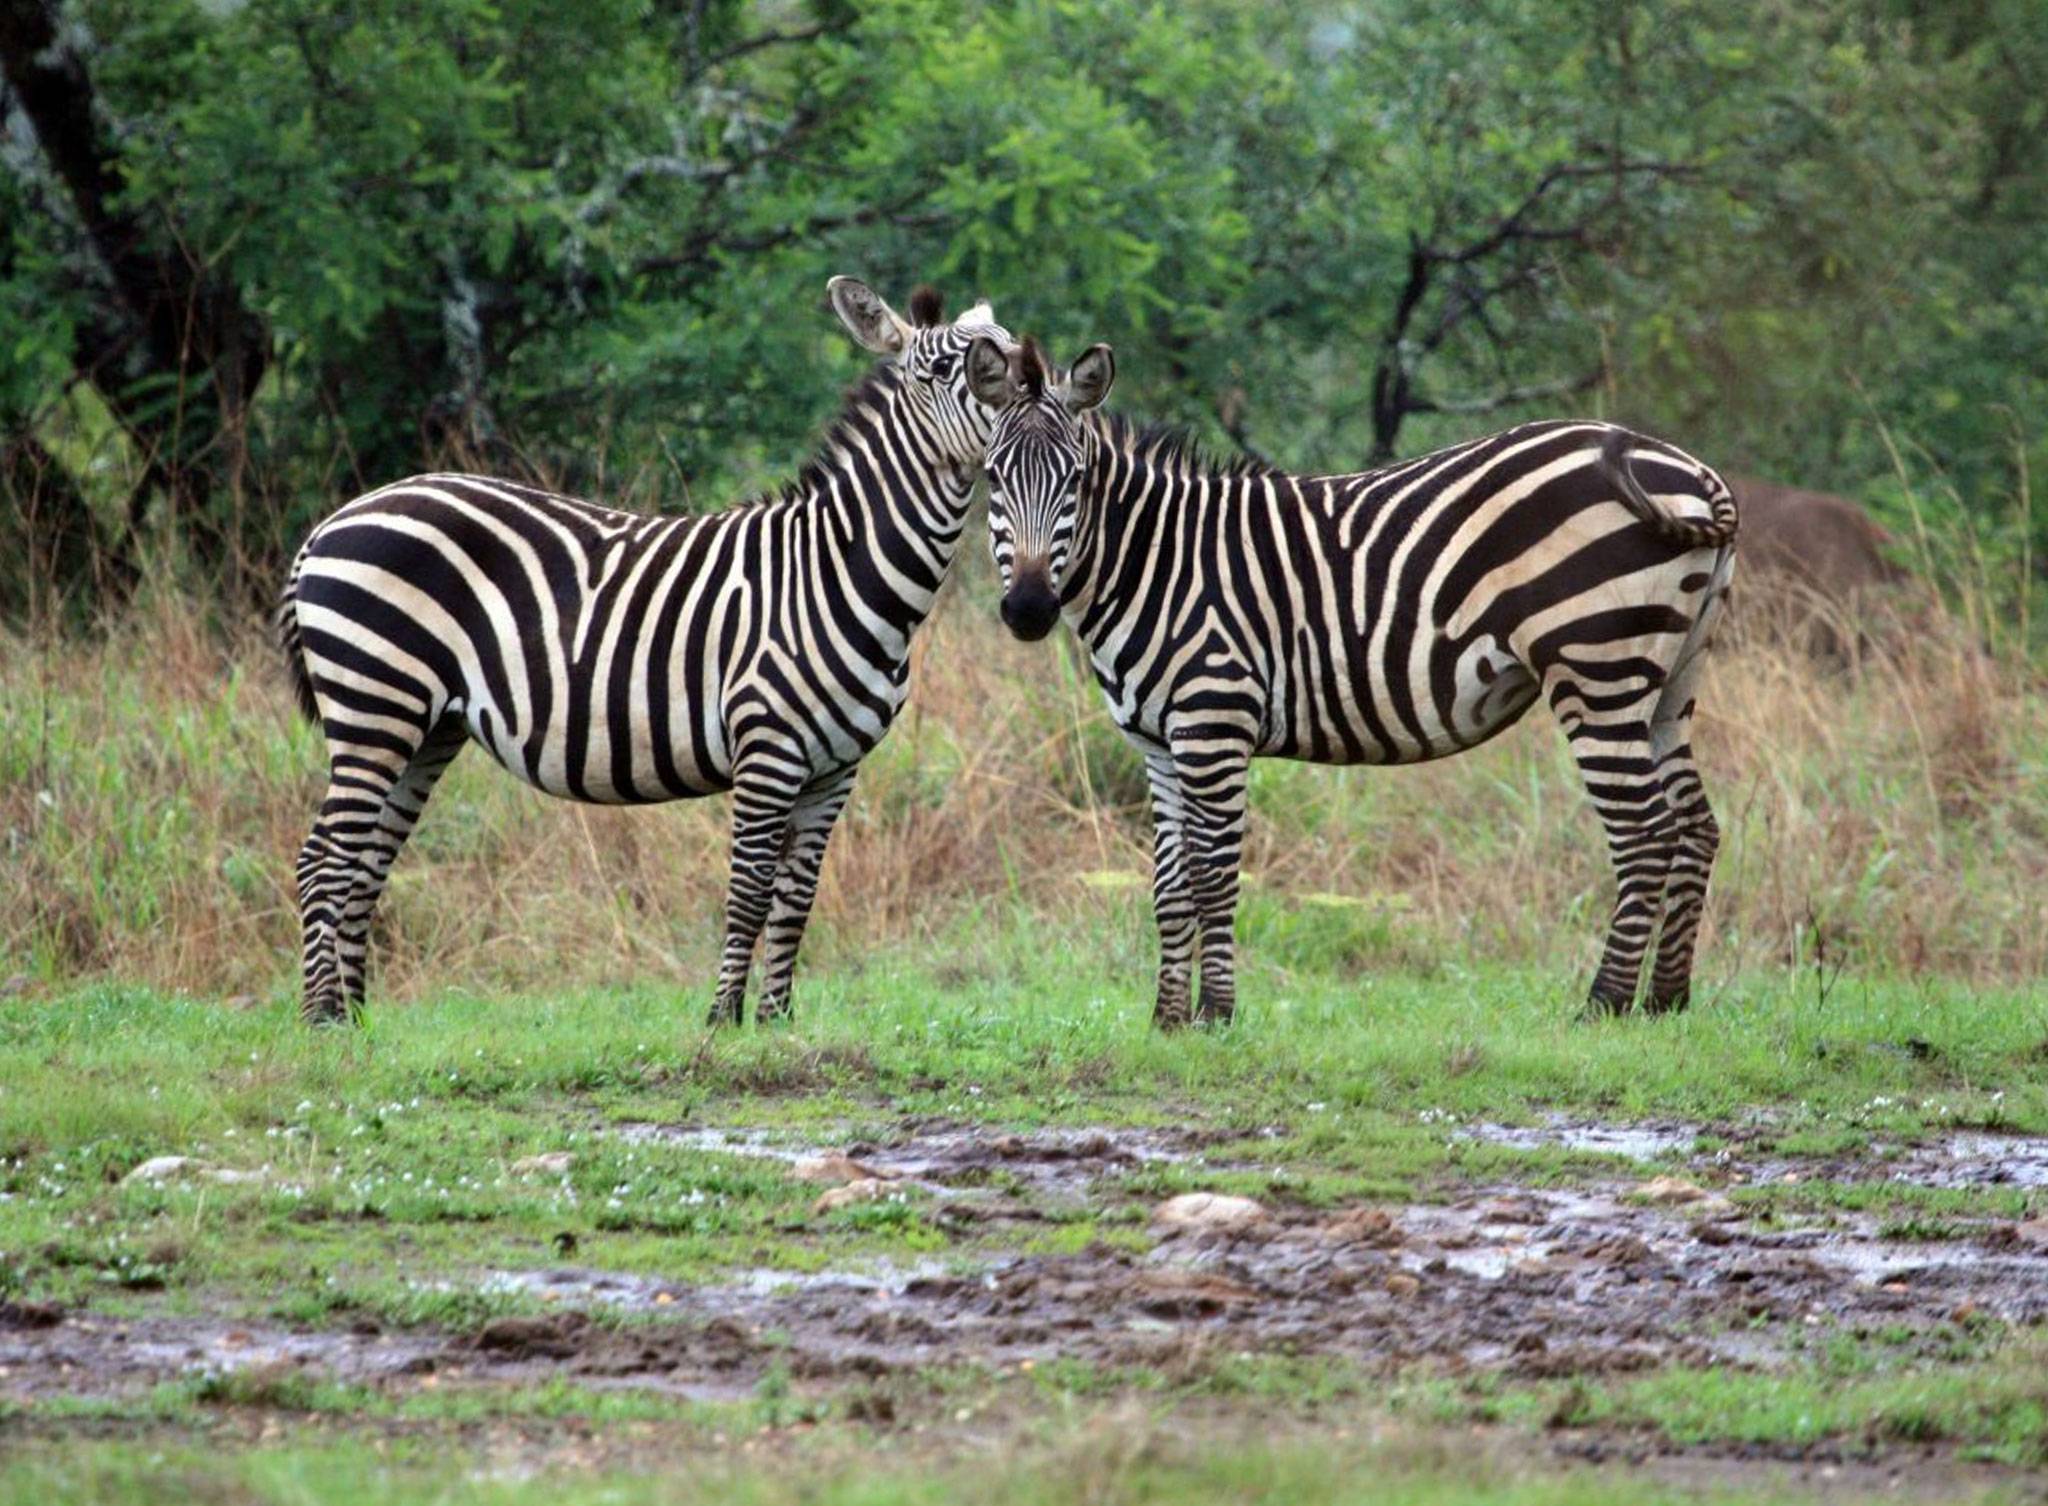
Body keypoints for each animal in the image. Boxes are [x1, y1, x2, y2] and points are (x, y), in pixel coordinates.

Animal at [280, 280, 1015, 1024]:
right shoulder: (767, 747)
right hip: (376, 703)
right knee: (324, 861)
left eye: (1014, 351)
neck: (835, 569)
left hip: (426, 727)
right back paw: (321, 1021)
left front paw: (778, 1023)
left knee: (367, 861)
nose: (1036, 389)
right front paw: (725, 1021)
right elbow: (751, 888)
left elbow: (797, 898)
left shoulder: (836, 768)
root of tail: (326, 528)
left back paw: (357, 1020)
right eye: (943, 371)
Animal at [966, 338, 1736, 1032]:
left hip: (1596, 666)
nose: (1028, 610)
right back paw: (1666, 1001)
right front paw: (1166, 1019)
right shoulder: (1158, 742)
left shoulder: (1214, 720)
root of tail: (1697, 473)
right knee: (1695, 826)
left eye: (1076, 480)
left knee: (1644, 833)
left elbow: (1213, 873)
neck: (1156, 561)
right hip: (1669, 681)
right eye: (993, 480)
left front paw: (1215, 1015)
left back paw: (1604, 1005)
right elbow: (1169, 882)